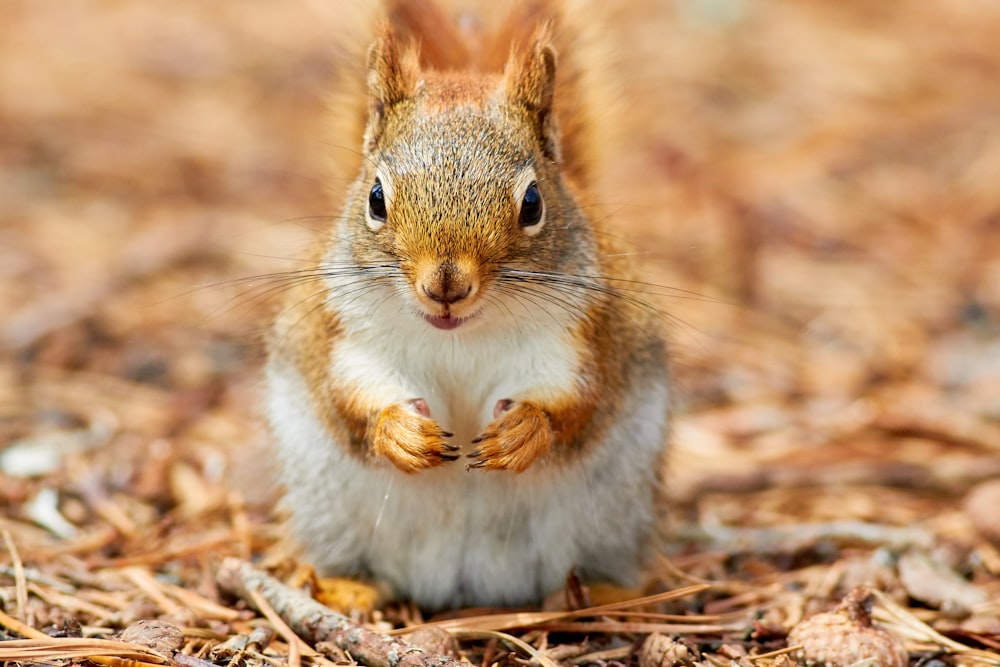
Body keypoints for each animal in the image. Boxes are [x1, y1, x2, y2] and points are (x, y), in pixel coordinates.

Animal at [266, 0, 672, 612]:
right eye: (375, 198)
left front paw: (523, 431)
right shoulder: (345, 334)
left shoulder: (582, 336)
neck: (458, 338)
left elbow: (579, 400)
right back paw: (343, 587)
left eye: (533, 203)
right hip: (330, 512)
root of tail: (459, 587)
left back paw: (592, 595)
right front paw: (399, 432)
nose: (446, 285)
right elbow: (350, 394)